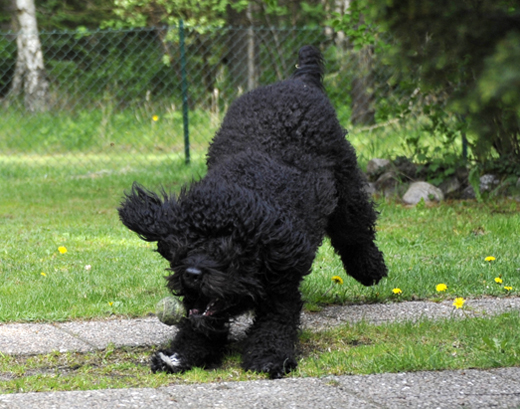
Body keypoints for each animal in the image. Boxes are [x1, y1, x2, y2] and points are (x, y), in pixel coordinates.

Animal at [118, 45, 386, 380]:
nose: (192, 274)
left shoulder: (283, 284)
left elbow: (275, 323)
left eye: (226, 251)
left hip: (345, 184)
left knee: (355, 229)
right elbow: (199, 325)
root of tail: (299, 80)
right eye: (183, 246)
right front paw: (180, 354)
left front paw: (269, 356)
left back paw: (370, 269)